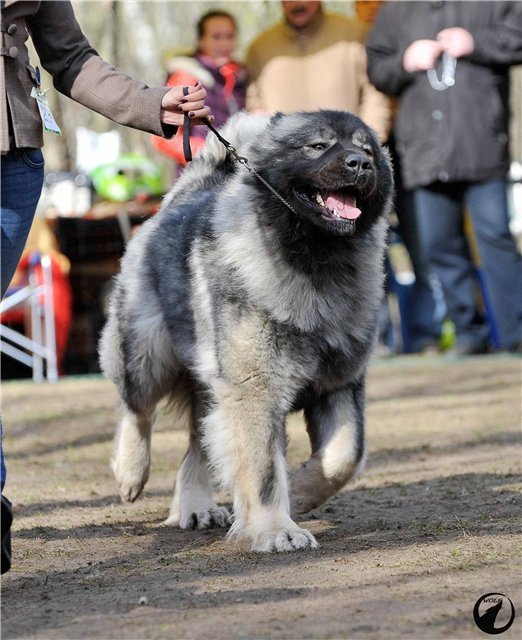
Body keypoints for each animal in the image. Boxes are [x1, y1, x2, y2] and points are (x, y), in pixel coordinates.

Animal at [98, 110, 390, 552]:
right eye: (318, 146)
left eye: (368, 151)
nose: (360, 164)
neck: (316, 260)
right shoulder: (256, 390)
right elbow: (265, 471)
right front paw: (277, 529)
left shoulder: (339, 382)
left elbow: (344, 457)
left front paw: (300, 491)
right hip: (147, 353)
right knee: (136, 410)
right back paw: (131, 474)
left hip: (212, 384)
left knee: (197, 446)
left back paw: (196, 507)